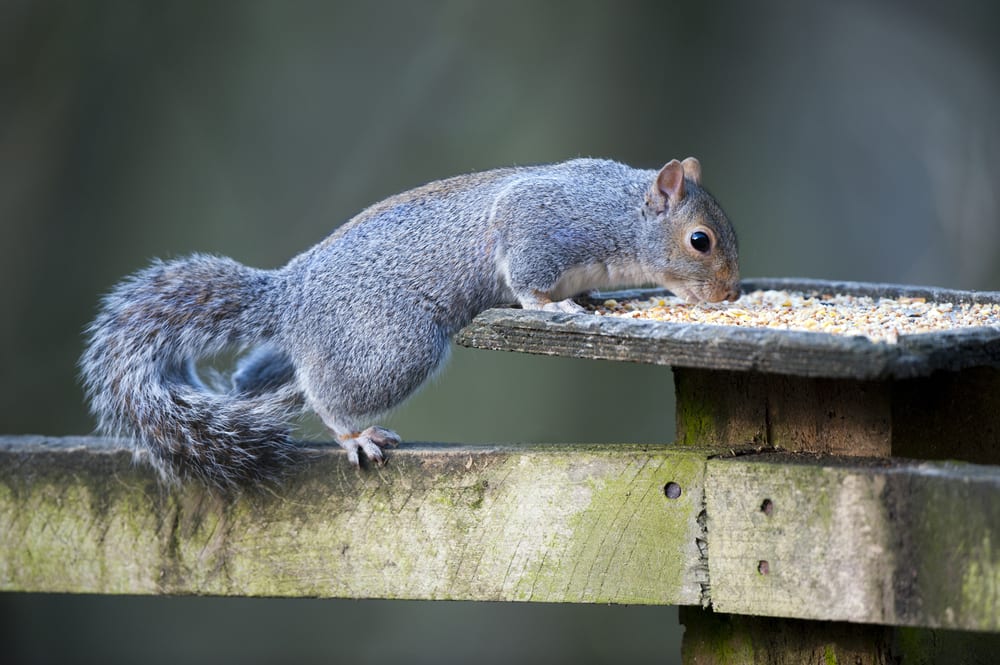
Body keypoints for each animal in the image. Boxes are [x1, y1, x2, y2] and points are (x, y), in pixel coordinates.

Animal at [82, 156, 740, 488]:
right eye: (699, 241)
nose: (731, 293)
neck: (619, 212)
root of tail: (291, 297)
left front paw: (594, 302)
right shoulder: (539, 226)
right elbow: (527, 279)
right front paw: (549, 307)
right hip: (395, 346)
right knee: (325, 393)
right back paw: (353, 434)